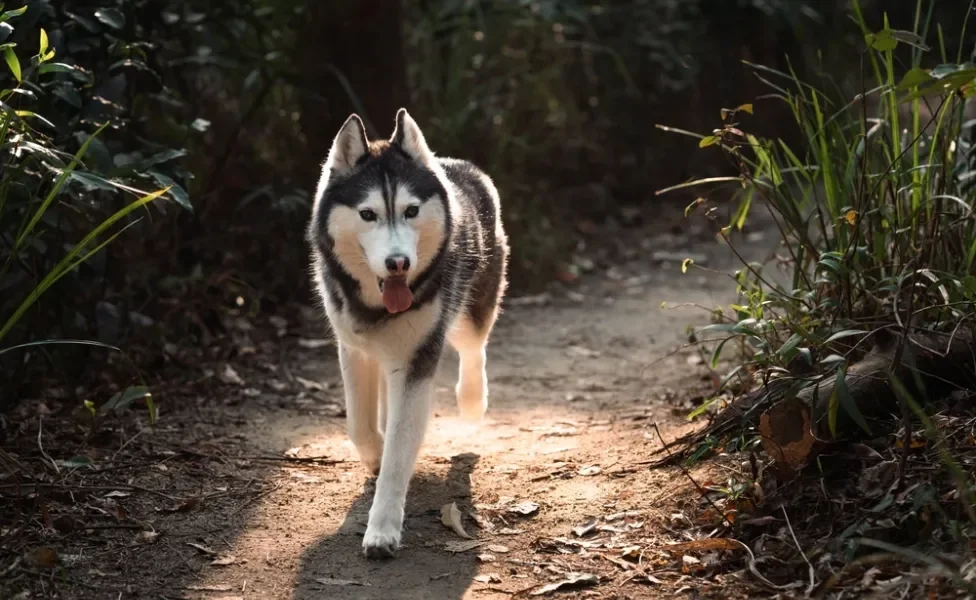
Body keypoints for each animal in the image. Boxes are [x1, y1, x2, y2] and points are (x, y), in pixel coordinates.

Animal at [306, 108, 510, 556]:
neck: (379, 304)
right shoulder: (353, 347)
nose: (398, 263)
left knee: (475, 348)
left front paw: (382, 527)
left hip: (467, 313)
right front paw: (375, 454)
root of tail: (457, 164)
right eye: (367, 214)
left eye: (411, 211)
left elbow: (401, 449)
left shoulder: (417, 358)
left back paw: (473, 401)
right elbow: (359, 426)